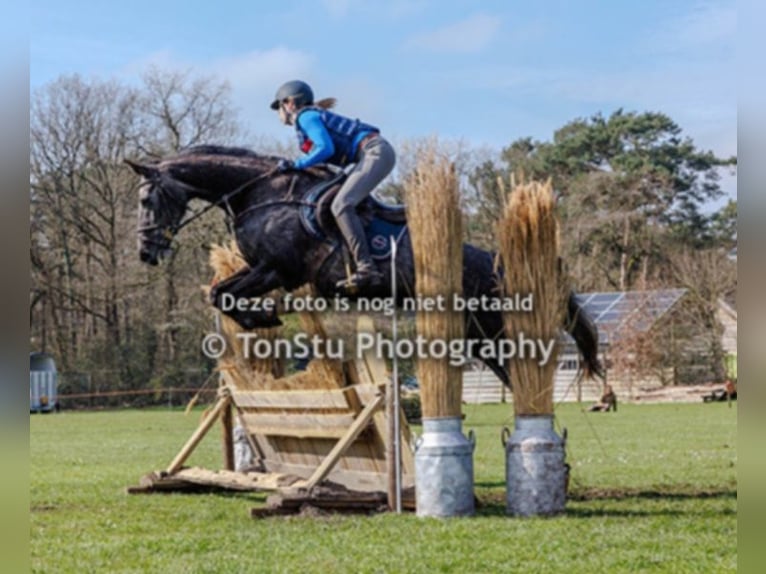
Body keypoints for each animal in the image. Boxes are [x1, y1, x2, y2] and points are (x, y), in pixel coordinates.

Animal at [127, 144, 608, 388]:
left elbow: (225, 294)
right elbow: (219, 292)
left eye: (147, 199)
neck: (262, 194)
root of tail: (498, 262)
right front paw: (260, 317)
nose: (146, 252)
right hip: (476, 334)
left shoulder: (278, 271)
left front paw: (261, 316)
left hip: (491, 327)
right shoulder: (264, 269)